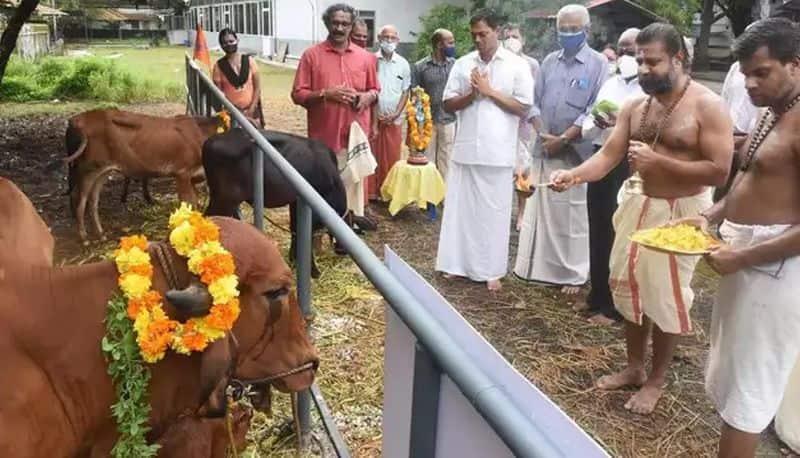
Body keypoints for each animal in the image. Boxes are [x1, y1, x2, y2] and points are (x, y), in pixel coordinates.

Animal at [64, 109, 220, 242]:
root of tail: (76, 120)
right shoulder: (182, 173)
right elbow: (188, 205)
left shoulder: (194, 176)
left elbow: (195, 206)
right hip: (88, 169)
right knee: (79, 198)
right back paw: (84, 237)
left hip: (102, 171)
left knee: (93, 200)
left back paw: (101, 235)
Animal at [200, 130, 346, 280]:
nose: (342, 251)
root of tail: (209, 142)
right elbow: (306, 236)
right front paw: (313, 271)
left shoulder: (295, 202)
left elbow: (294, 228)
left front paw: (293, 259)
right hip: (224, 198)